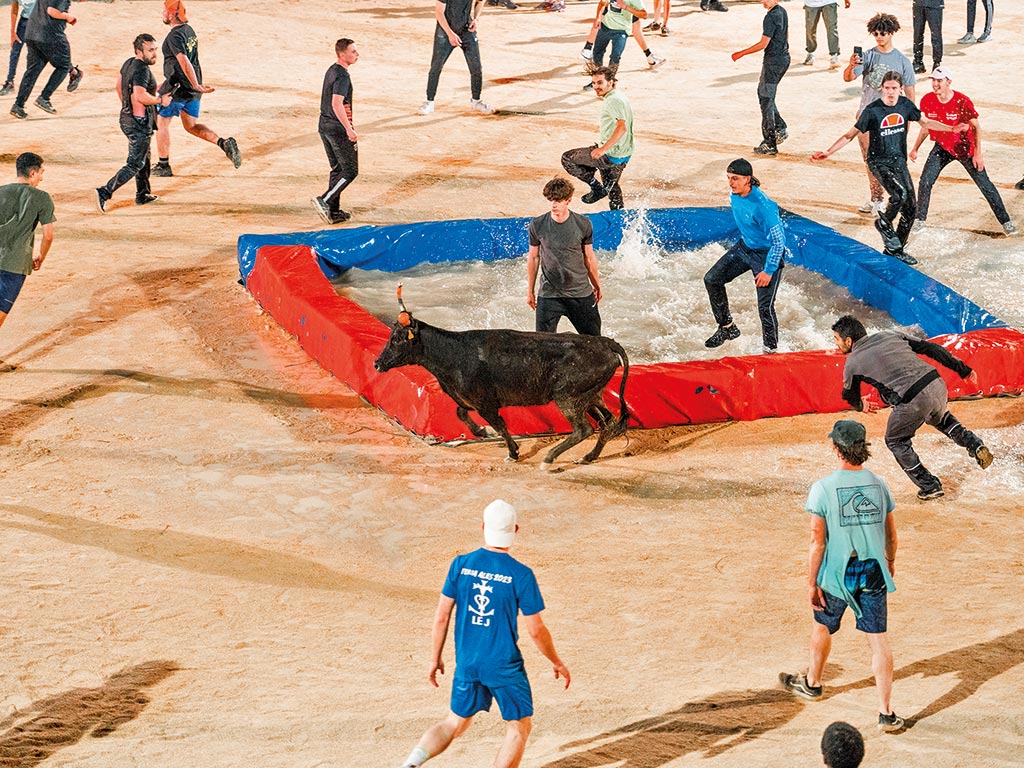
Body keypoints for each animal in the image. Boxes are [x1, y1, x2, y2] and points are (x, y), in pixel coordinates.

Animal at [372, 317, 626, 466]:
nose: (377, 363)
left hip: (568, 397)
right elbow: (460, 413)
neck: (453, 354)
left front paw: (512, 452)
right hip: (592, 396)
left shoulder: (486, 403)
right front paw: (482, 432)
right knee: (607, 422)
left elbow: (501, 425)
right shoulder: (468, 400)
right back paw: (588, 457)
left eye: (397, 339)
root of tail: (605, 342)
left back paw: (550, 457)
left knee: (584, 429)